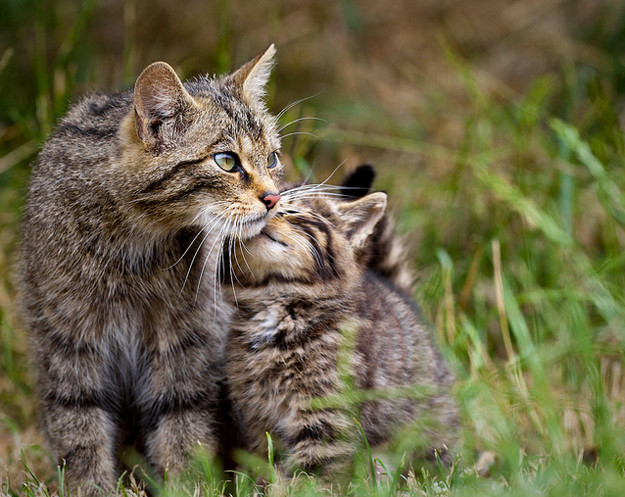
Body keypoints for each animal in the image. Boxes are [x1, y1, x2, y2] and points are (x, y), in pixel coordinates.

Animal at [18, 45, 282, 492]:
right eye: (227, 161)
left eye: (273, 158)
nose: (274, 198)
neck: (134, 244)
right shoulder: (67, 343)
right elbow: (80, 430)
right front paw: (92, 489)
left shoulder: (186, 341)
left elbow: (182, 428)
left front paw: (186, 487)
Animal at [224, 189, 458, 472]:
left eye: (290, 210)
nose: (267, 209)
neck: (276, 302)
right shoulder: (255, 418)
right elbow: (261, 464)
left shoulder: (327, 415)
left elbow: (312, 470)